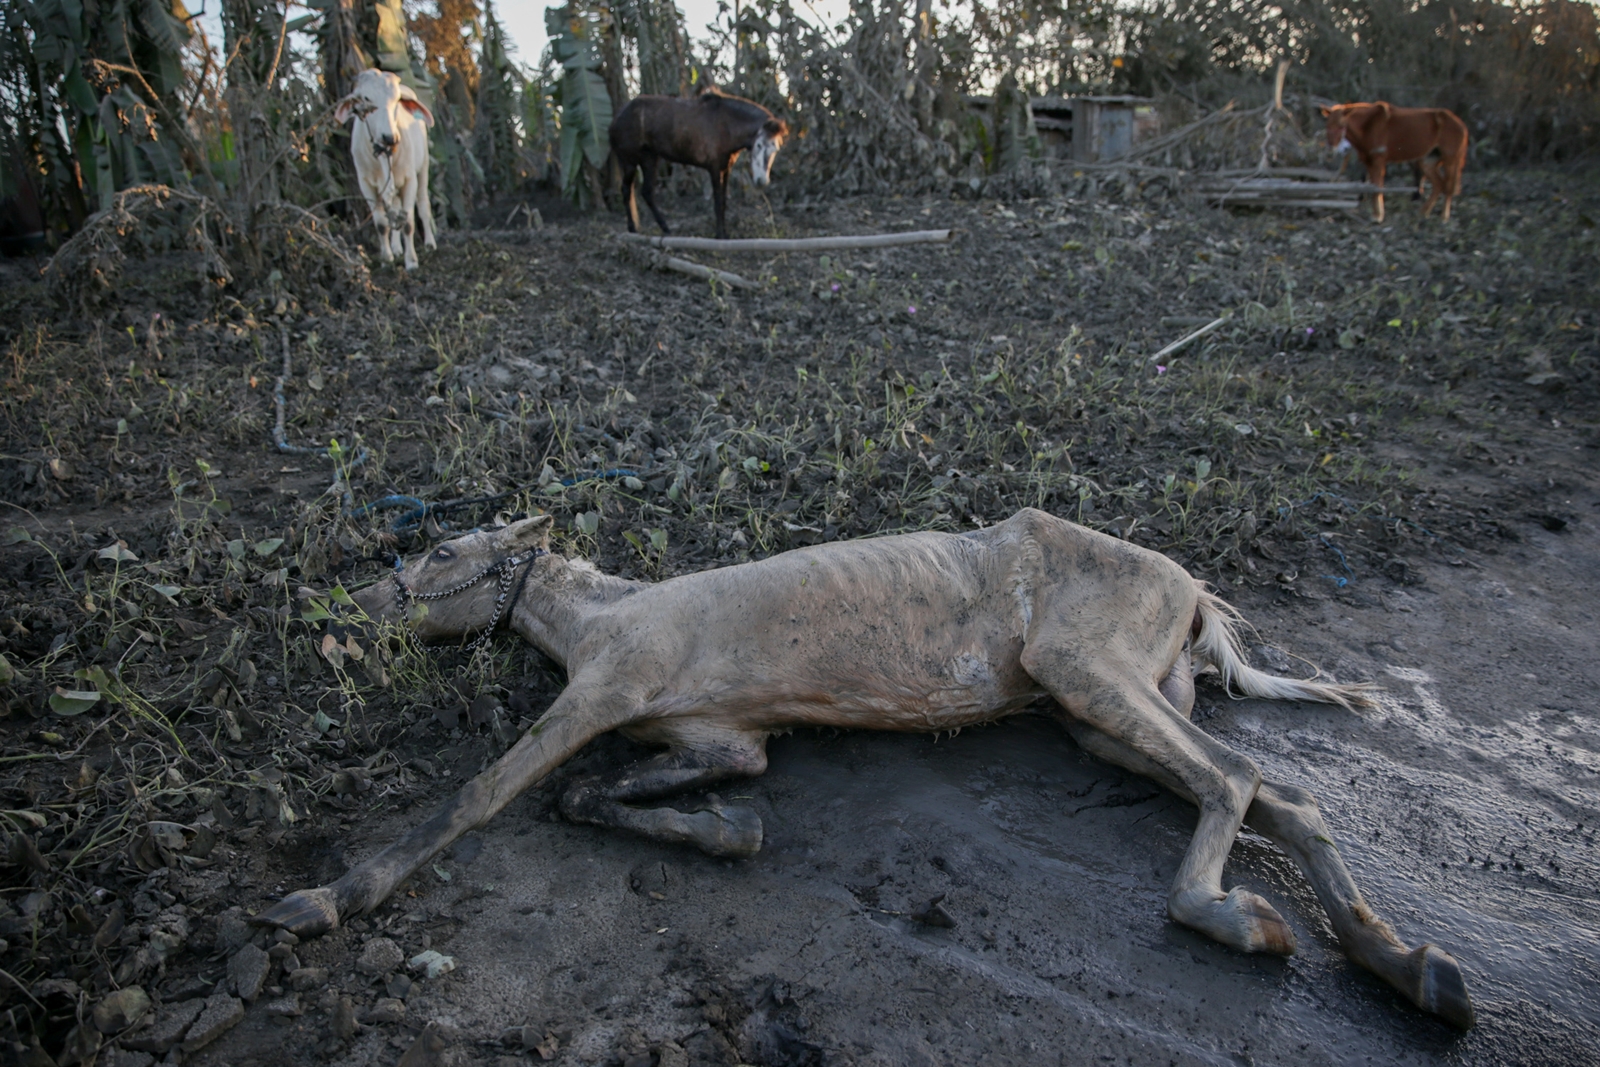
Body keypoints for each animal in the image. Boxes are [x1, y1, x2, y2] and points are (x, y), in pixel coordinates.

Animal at [259, 508, 1472, 1023]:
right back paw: (1409, 965)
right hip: (1104, 709)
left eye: (441, 549)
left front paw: (317, 901)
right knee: (1283, 789)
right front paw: (727, 832)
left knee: (1233, 779)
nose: (336, 615)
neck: (602, 614)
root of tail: (1195, 591)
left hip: (1085, 670)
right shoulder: (720, 737)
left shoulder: (600, 691)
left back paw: (1237, 918)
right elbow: (601, 794)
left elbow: (484, 793)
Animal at [337, 69, 438, 271]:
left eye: (397, 100)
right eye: (366, 98)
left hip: (423, 166)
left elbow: (408, 223)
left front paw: (411, 261)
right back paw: (397, 248)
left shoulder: (410, 180)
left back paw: (430, 244)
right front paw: (386, 258)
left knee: (423, 205)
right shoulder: (366, 185)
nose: (390, 137)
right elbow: (381, 224)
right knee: (395, 210)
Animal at [608, 89, 790, 239]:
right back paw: (633, 229)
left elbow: (723, 202)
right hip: (629, 162)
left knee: (646, 192)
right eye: (758, 145)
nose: (762, 181)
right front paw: (720, 235)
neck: (726, 124)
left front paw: (724, 233)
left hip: (650, 159)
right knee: (626, 190)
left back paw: (665, 228)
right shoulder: (714, 168)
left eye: (775, 148)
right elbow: (717, 202)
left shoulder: (726, 168)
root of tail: (617, 118)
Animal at [1318, 103, 1465, 222]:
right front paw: (1376, 213)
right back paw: (1423, 212)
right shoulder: (1368, 160)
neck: (1368, 126)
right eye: (1327, 125)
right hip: (1428, 161)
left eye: (1342, 126)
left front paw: (1377, 216)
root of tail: (1462, 125)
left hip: (1450, 160)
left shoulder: (1378, 160)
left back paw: (1444, 217)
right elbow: (1371, 186)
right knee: (1438, 184)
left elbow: (1377, 187)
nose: (1331, 150)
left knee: (1448, 186)